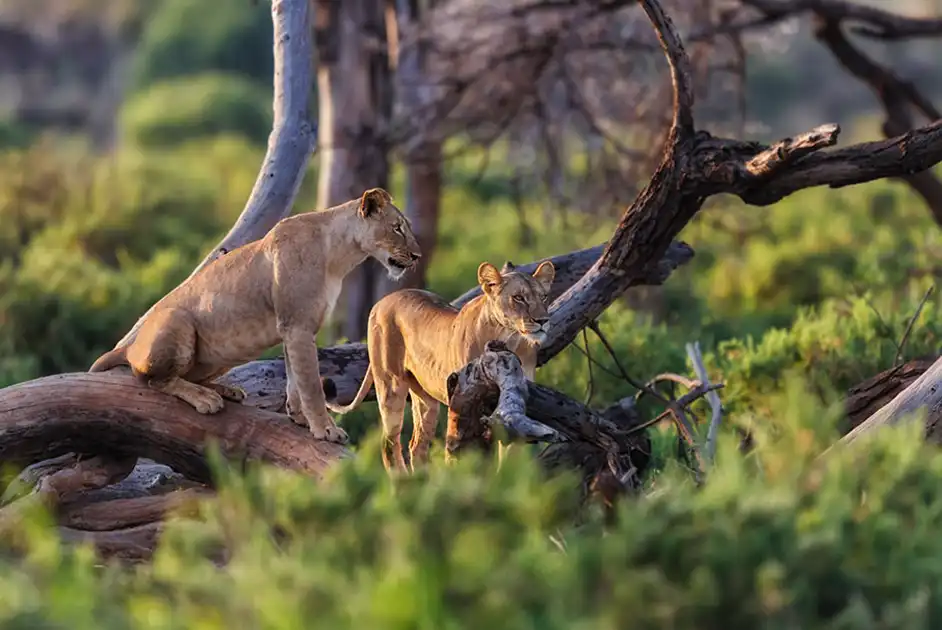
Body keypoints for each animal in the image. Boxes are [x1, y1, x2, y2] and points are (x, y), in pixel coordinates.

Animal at [88, 188, 420, 444]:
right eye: (397, 228)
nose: (416, 256)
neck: (340, 255)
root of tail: (129, 347)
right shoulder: (298, 326)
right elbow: (311, 384)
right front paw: (326, 429)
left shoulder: (293, 329)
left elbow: (295, 379)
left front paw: (299, 418)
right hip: (177, 323)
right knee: (152, 379)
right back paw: (205, 398)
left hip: (224, 354)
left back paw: (225, 391)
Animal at [328, 260, 556, 472]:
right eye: (518, 297)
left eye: (544, 297)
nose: (543, 320)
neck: (508, 337)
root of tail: (381, 302)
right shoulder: (462, 397)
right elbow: (460, 449)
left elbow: (510, 457)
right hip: (390, 386)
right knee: (389, 443)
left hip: (425, 399)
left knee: (416, 445)